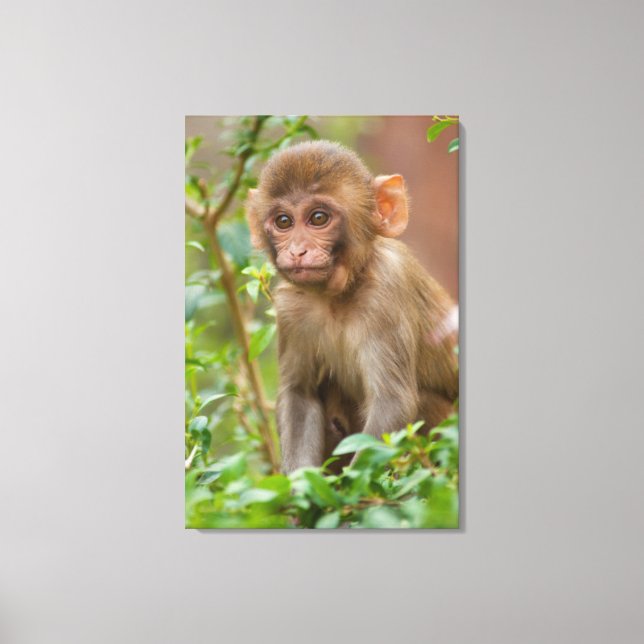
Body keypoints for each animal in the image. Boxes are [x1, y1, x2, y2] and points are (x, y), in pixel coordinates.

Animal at [246, 140, 458, 474]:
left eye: (318, 218)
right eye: (283, 222)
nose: (297, 251)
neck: (338, 294)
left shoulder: (387, 292)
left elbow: (393, 403)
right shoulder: (291, 308)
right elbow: (299, 394)